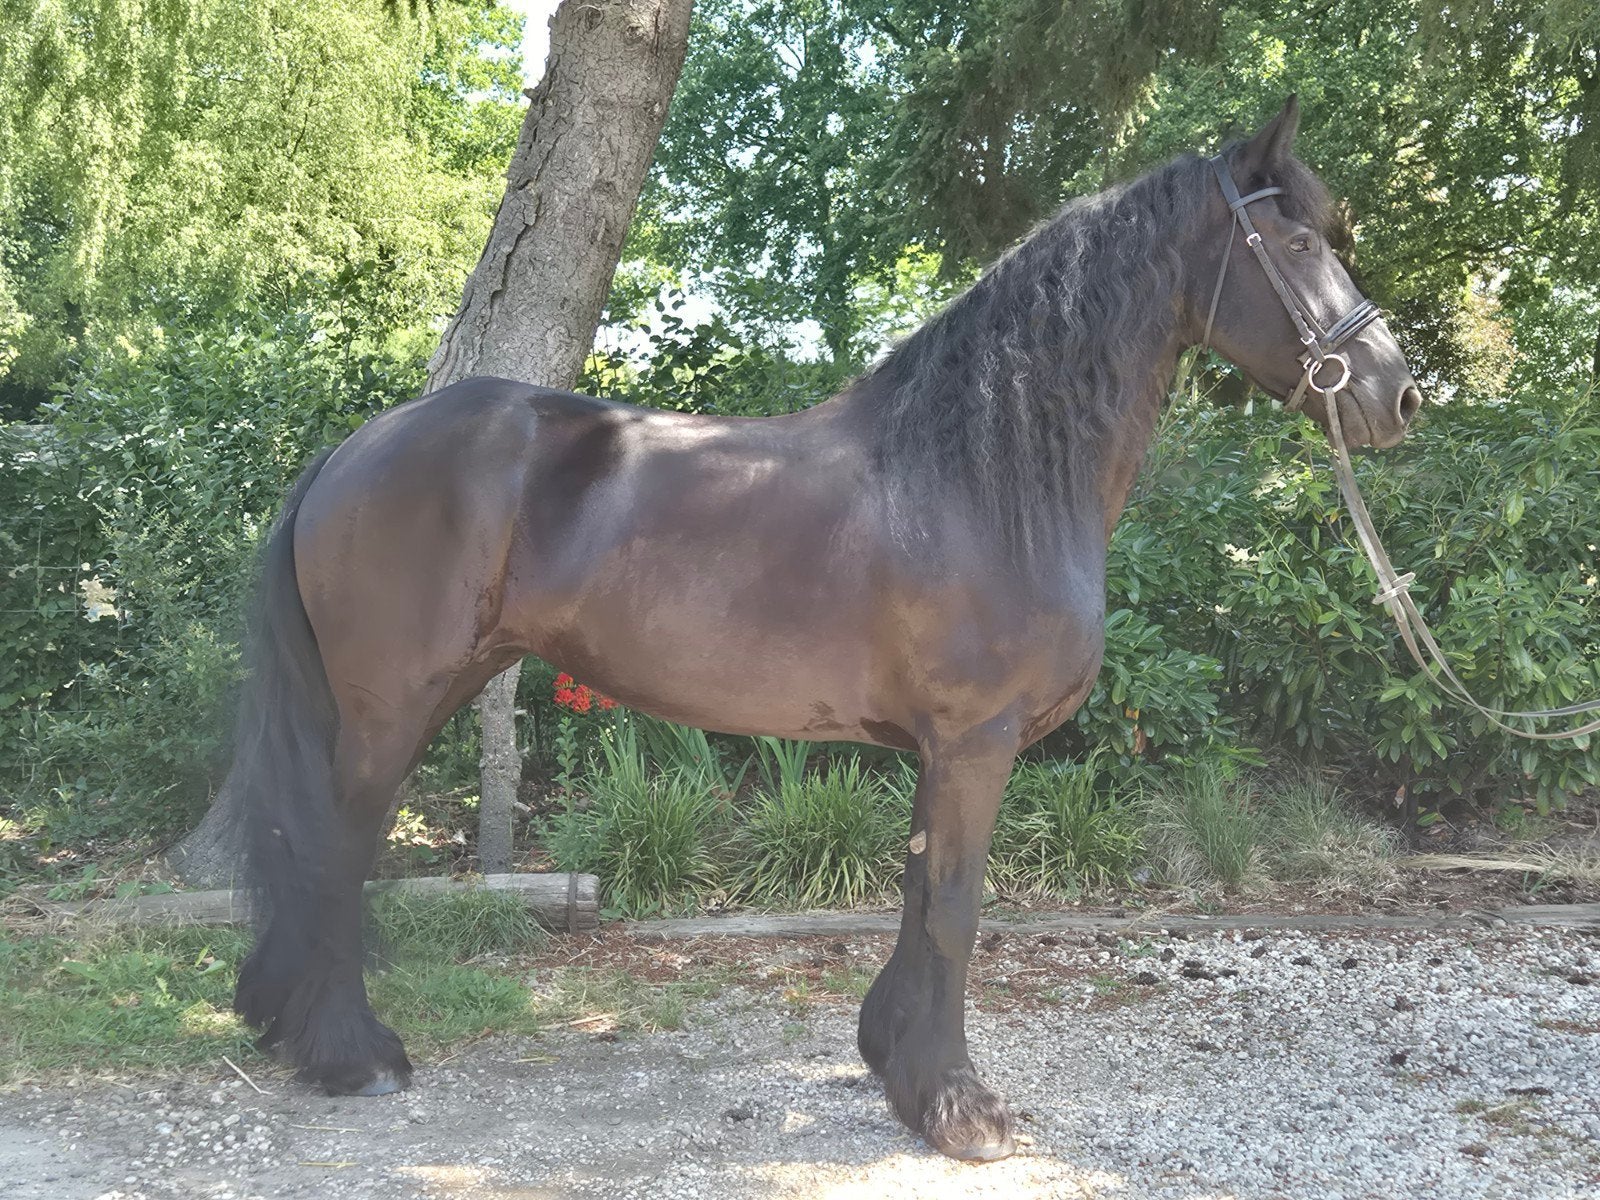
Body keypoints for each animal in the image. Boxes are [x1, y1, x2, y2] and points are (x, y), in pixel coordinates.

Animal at [226, 96, 1421, 1162]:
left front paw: (899, 1067)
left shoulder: (939, 752)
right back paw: (352, 1055)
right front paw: (960, 1110)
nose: (1394, 395)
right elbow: (956, 909)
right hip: (393, 706)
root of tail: (356, 448)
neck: (980, 475)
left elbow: (919, 896)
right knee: (334, 854)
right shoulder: (976, 743)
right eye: (1297, 238)